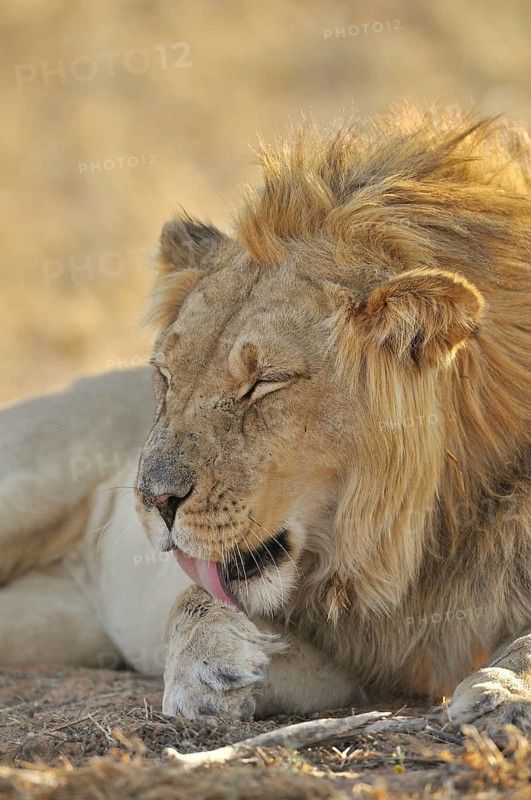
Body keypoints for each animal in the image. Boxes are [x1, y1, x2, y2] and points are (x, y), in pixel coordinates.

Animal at [1, 105, 531, 733]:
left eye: (264, 382)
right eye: (166, 375)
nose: (153, 500)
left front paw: (504, 692)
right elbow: (194, 597)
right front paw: (206, 667)